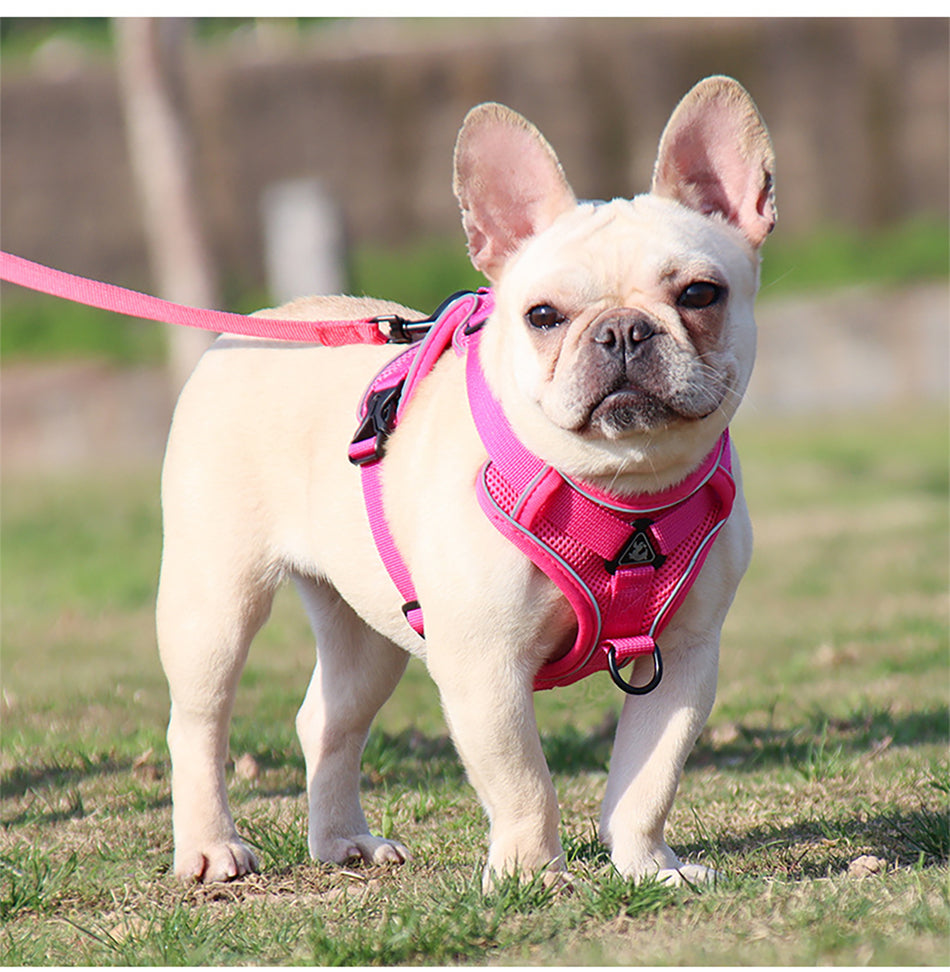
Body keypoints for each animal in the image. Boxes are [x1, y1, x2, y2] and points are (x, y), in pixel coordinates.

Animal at [156, 78, 776, 888]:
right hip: (214, 601)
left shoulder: (686, 658)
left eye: (701, 294)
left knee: (329, 720)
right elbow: (524, 781)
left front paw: (648, 866)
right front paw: (533, 875)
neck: (623, 487)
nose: (622, 331)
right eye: (543, 316)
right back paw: (210, 846)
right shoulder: (485, 665)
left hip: (365, 632)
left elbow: (650, 777)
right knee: (198, 722)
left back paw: (344, 840)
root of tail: (253, 325)